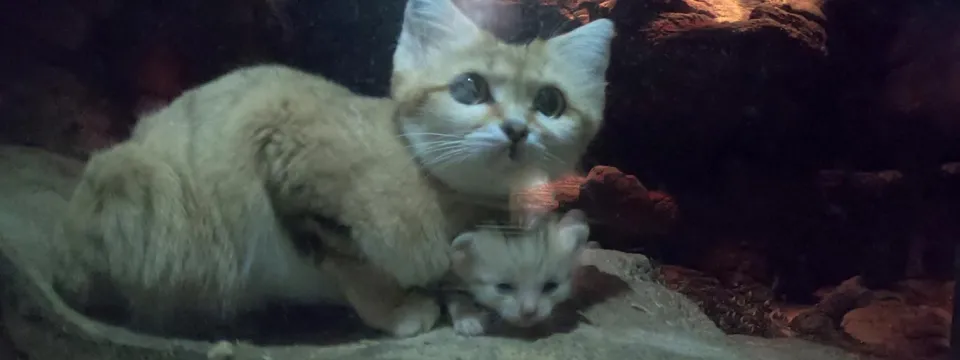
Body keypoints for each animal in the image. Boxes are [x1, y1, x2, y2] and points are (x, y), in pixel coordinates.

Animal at [444, 208, 592, 334]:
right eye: (503, 287)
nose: (529, 312)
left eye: (550, 286)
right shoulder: (450, 277)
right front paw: (467, 318)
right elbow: (457, 295)